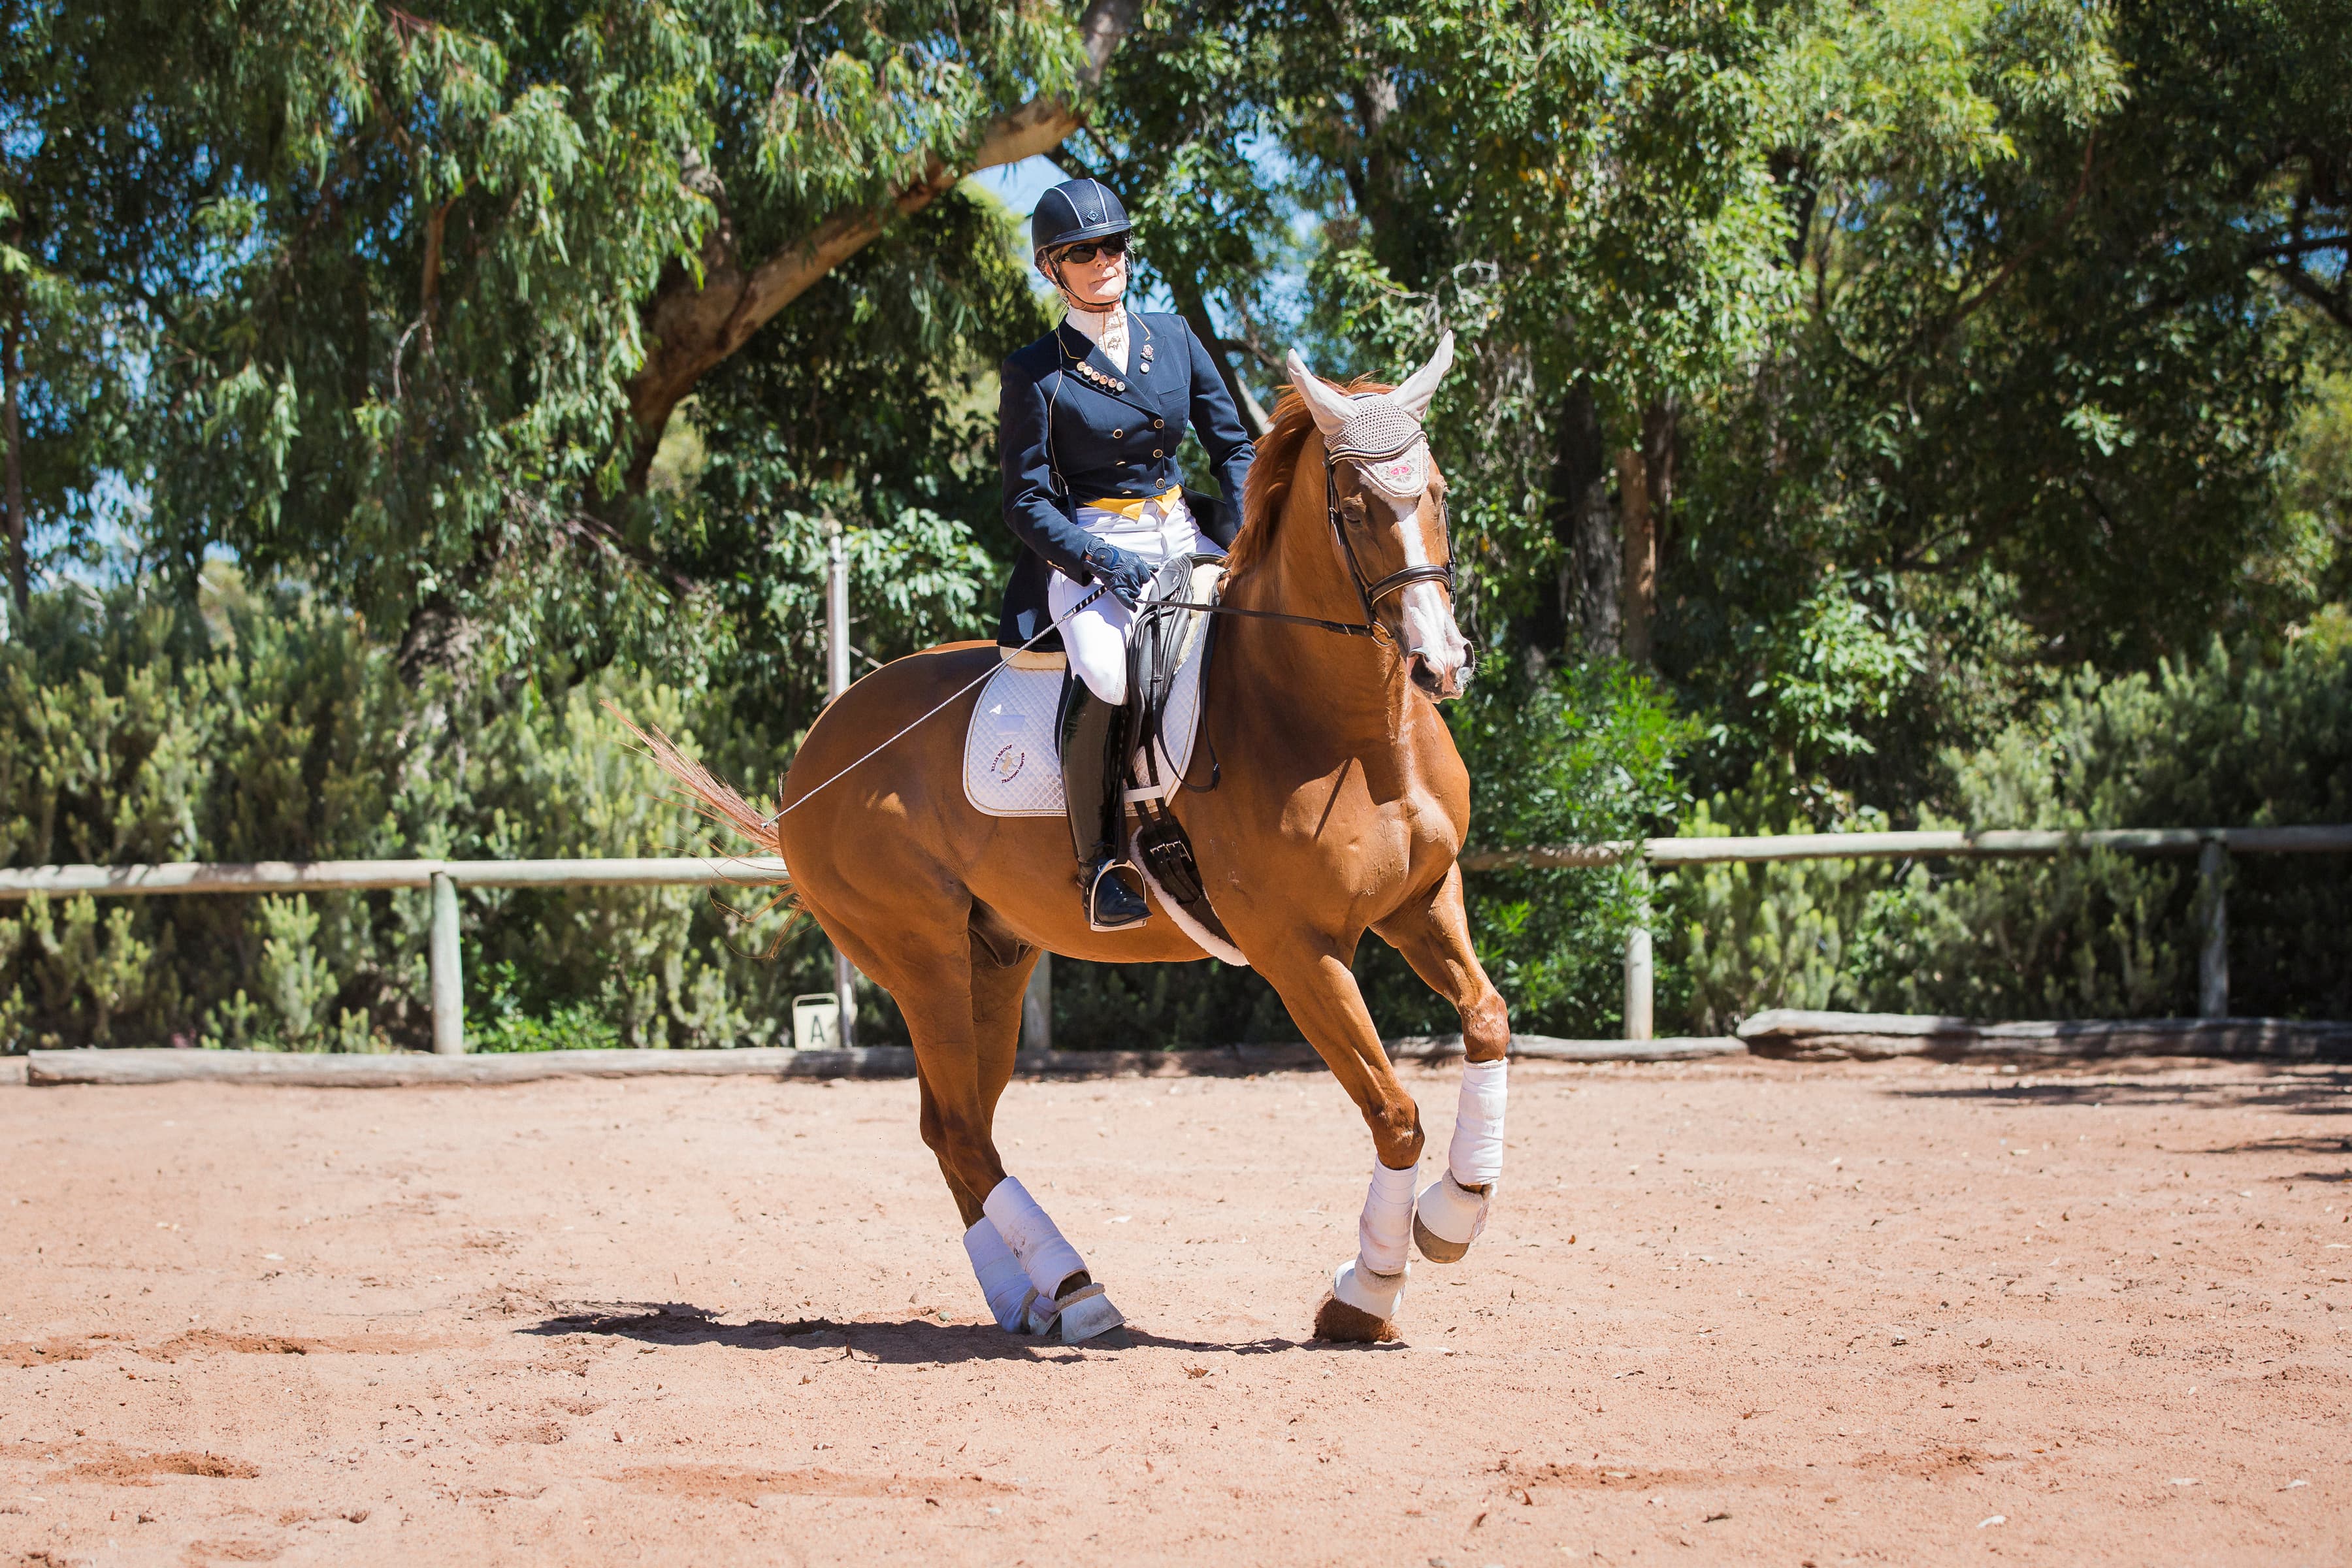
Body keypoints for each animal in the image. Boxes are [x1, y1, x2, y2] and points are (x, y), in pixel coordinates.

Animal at [625, 336, 1512, 1345]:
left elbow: (1488, 1022)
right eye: (1356, 509)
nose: (1441, 664)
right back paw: (1078, 1292)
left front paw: (1454, 1214)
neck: (1350, 729)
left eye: (1436, 491)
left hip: (994, 961)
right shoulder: (1299, 950)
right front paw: (1366, 1292)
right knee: (960, 1128)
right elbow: (1394, 1111)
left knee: (955, 1125)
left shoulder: (1422, 900)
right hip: (920, 954)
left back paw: (1026, 1297)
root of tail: (819, 746)